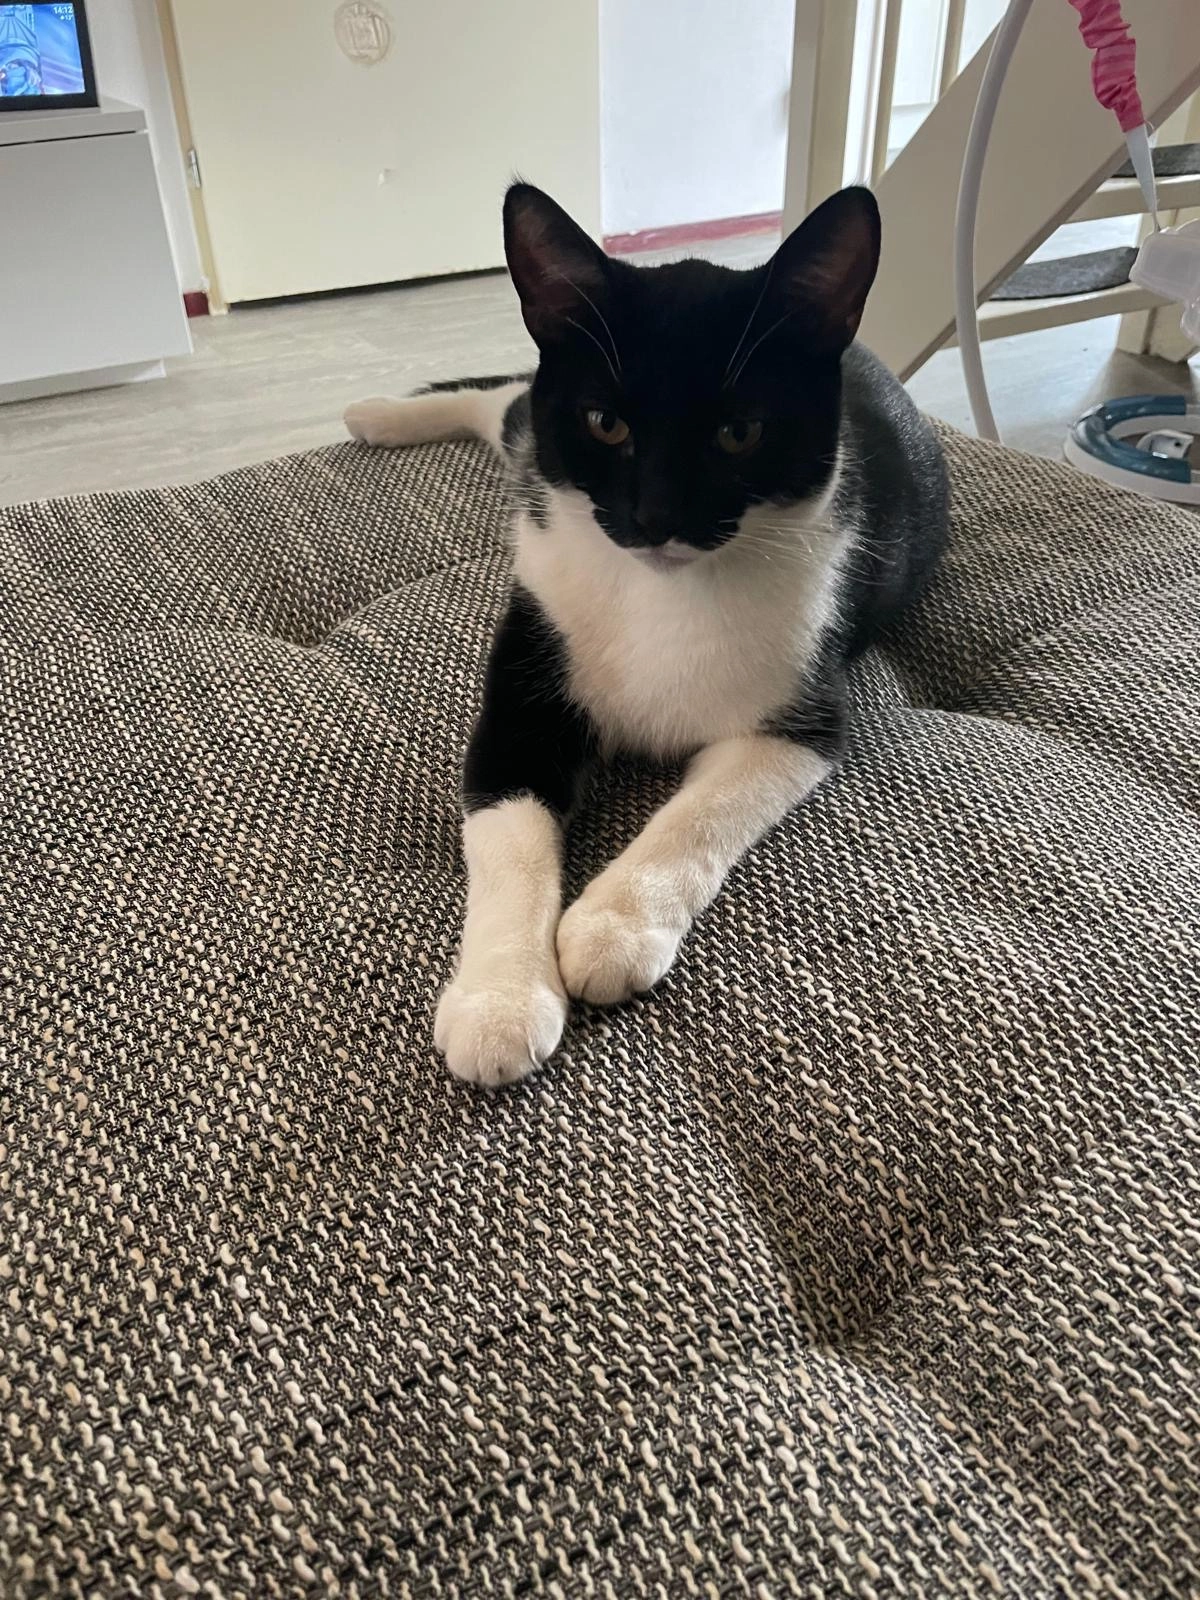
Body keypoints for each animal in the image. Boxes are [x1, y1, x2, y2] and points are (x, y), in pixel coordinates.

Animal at [345, 181, 949, 1088]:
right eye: (605, 423)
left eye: (740, 431)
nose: (656, 516)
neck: (660, 596)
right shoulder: (528, 676)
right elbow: (509, 833)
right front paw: (501, 1001)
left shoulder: (802, 710)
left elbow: (699, 815)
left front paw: (614, 930)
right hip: (532, 447)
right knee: (510, 403)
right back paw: (377, 413)